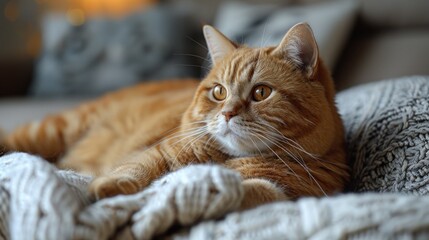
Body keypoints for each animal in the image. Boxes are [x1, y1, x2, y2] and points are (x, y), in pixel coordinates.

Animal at [1, 23, 348, 209]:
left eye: (261, 93)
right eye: (219, 92)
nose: (227, 113)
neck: (230, 158)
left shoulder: (288, 192)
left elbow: (253, 190)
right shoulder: (160, 152)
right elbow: (136, 169)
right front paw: (110, 185)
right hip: (54, 130)